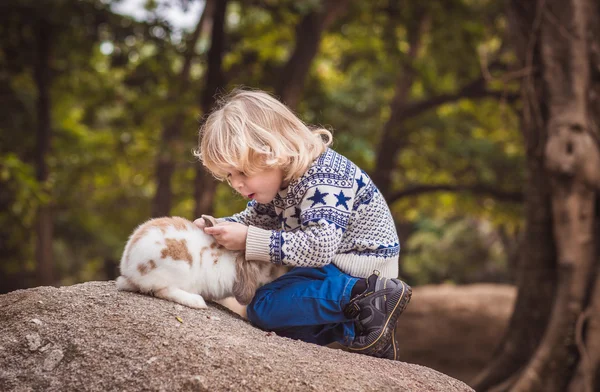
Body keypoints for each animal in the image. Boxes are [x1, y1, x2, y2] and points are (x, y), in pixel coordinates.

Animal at [116, 216, 288, 310]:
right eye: (266, 266)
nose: (282, 271)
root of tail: (129, 270)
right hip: (178, 267)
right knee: (161, 290)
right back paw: (197, 301)